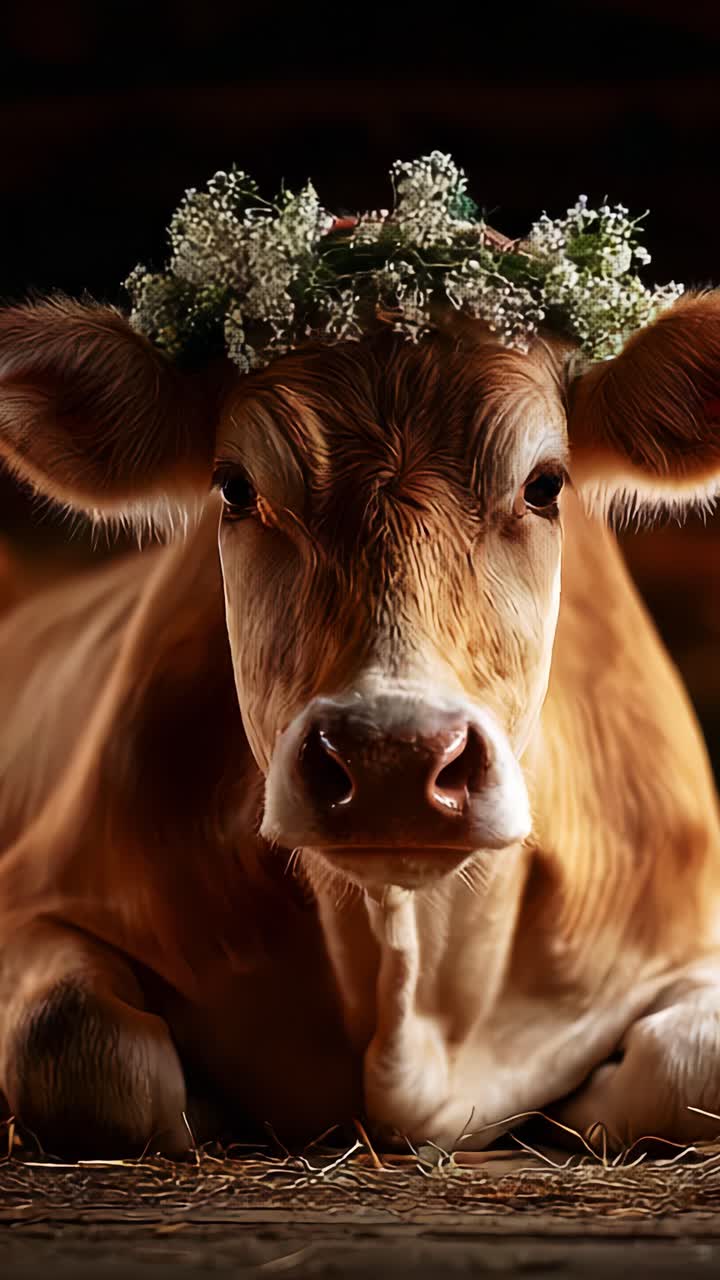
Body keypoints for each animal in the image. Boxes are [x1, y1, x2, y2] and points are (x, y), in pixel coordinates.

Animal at [1, 292, 720, 1159]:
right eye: (235, 488)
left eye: (546, 485)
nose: (392, 759)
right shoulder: (33, 901)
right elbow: (73, 1040)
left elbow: (692, 1063)